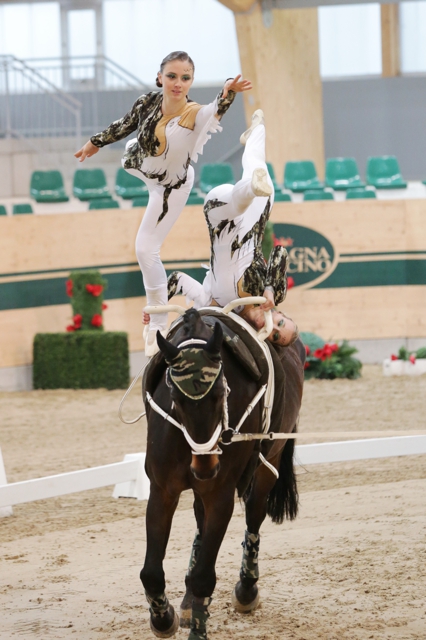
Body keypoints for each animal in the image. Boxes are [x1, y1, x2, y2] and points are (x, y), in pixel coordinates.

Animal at [141, 308, 304, 636]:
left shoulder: (220, 494)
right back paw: (188, 602)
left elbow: (205, 576)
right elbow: (151, 572)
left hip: (270, 458)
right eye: (174, 397)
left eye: (221, 392)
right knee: (200, 520)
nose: (206, 467)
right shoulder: (162, 490)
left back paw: (246, 591)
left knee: (254, 513)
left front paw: (196, 628)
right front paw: (163, 619)